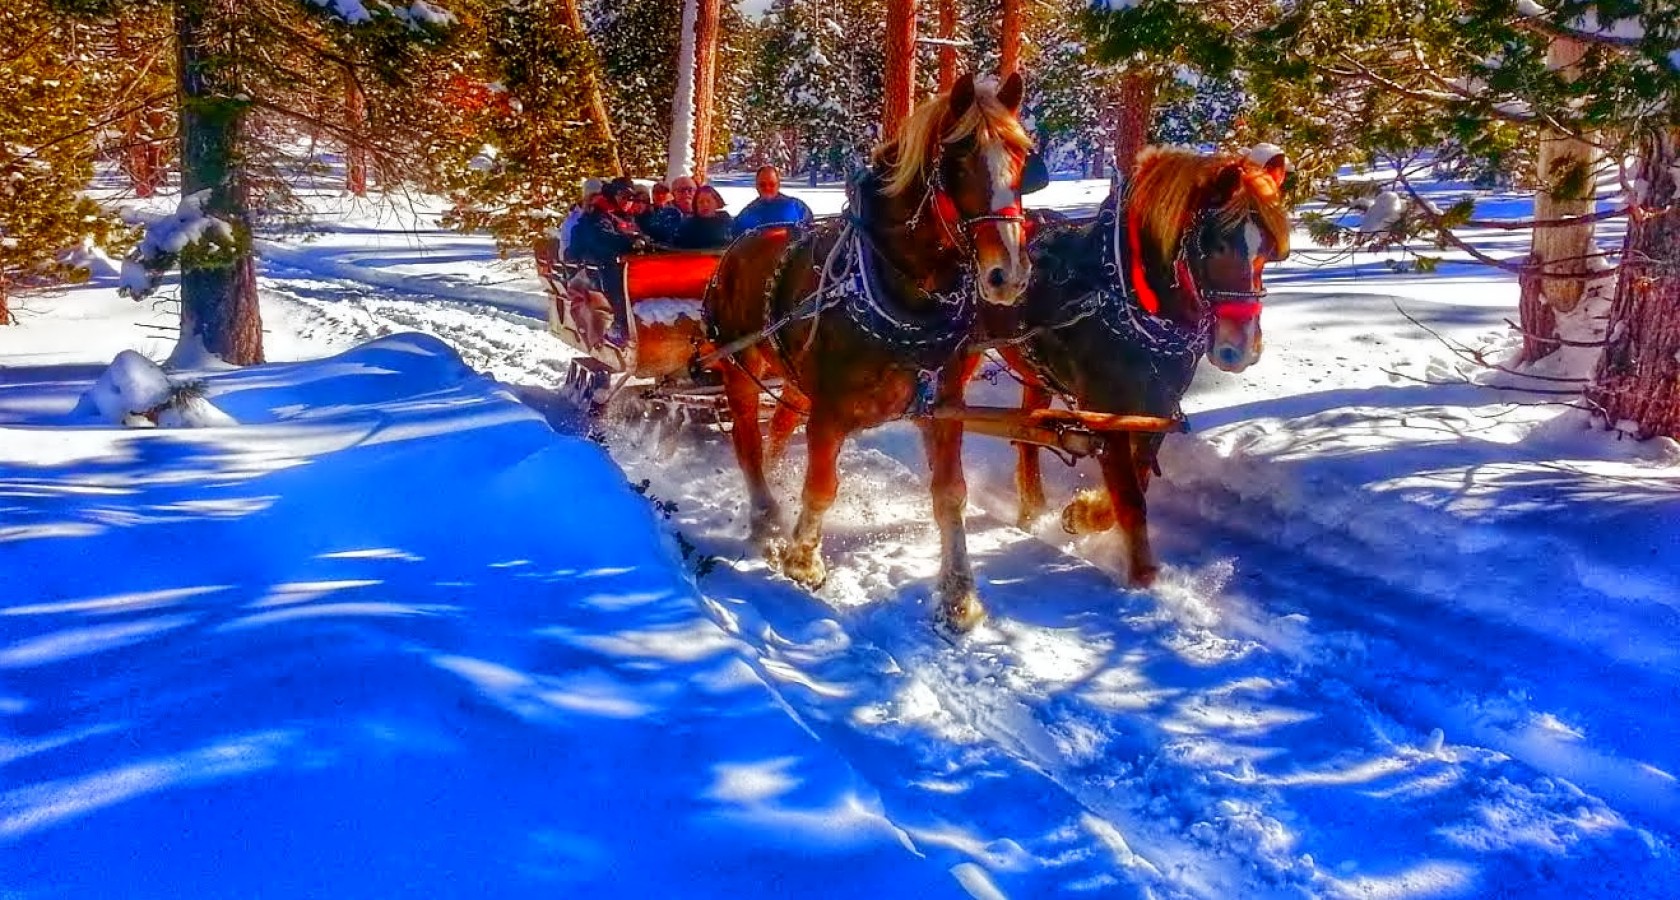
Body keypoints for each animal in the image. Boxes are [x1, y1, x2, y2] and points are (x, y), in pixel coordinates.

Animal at [698, 73, 1034, 627]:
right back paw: (766, 517)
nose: (1008, 273)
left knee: (777, 428)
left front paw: (959, 594)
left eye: (1023, 156)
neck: (904, 294)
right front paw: (803, 561)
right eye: (959, 158)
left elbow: (951, 495)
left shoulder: (944, 406)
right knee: (747, 439)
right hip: (738, 366)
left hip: (794, 381)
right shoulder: (831, 410)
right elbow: (821, 484)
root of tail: (736, 246)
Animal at [987, 145, 1290, 587]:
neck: (1124, 301)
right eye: (1215, 245)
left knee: (1027, 438)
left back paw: (1032, 512)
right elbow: (1130, 498)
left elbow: (1139, 481)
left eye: (1268, 250)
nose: (1241, 349)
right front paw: (1142, 578)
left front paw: (1083, 514)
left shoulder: (1154, 410)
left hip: (1035, 374)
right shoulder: (1105, 411)